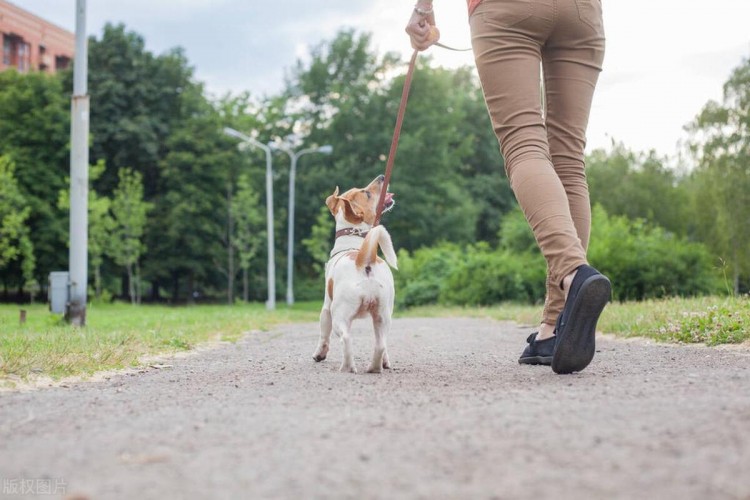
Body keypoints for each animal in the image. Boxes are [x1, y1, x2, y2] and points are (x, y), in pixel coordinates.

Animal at [312, 174, 400, 374]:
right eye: (366, 193)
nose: (382, 176)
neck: (354, 239)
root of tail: (365, 259)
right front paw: (386, 362)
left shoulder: (326, 308)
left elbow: (324, 335)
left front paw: (319, 355)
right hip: (383, 316)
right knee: (380, 344)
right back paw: (374, 367)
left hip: (340, 314)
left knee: (346, 339)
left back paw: (347, 367)